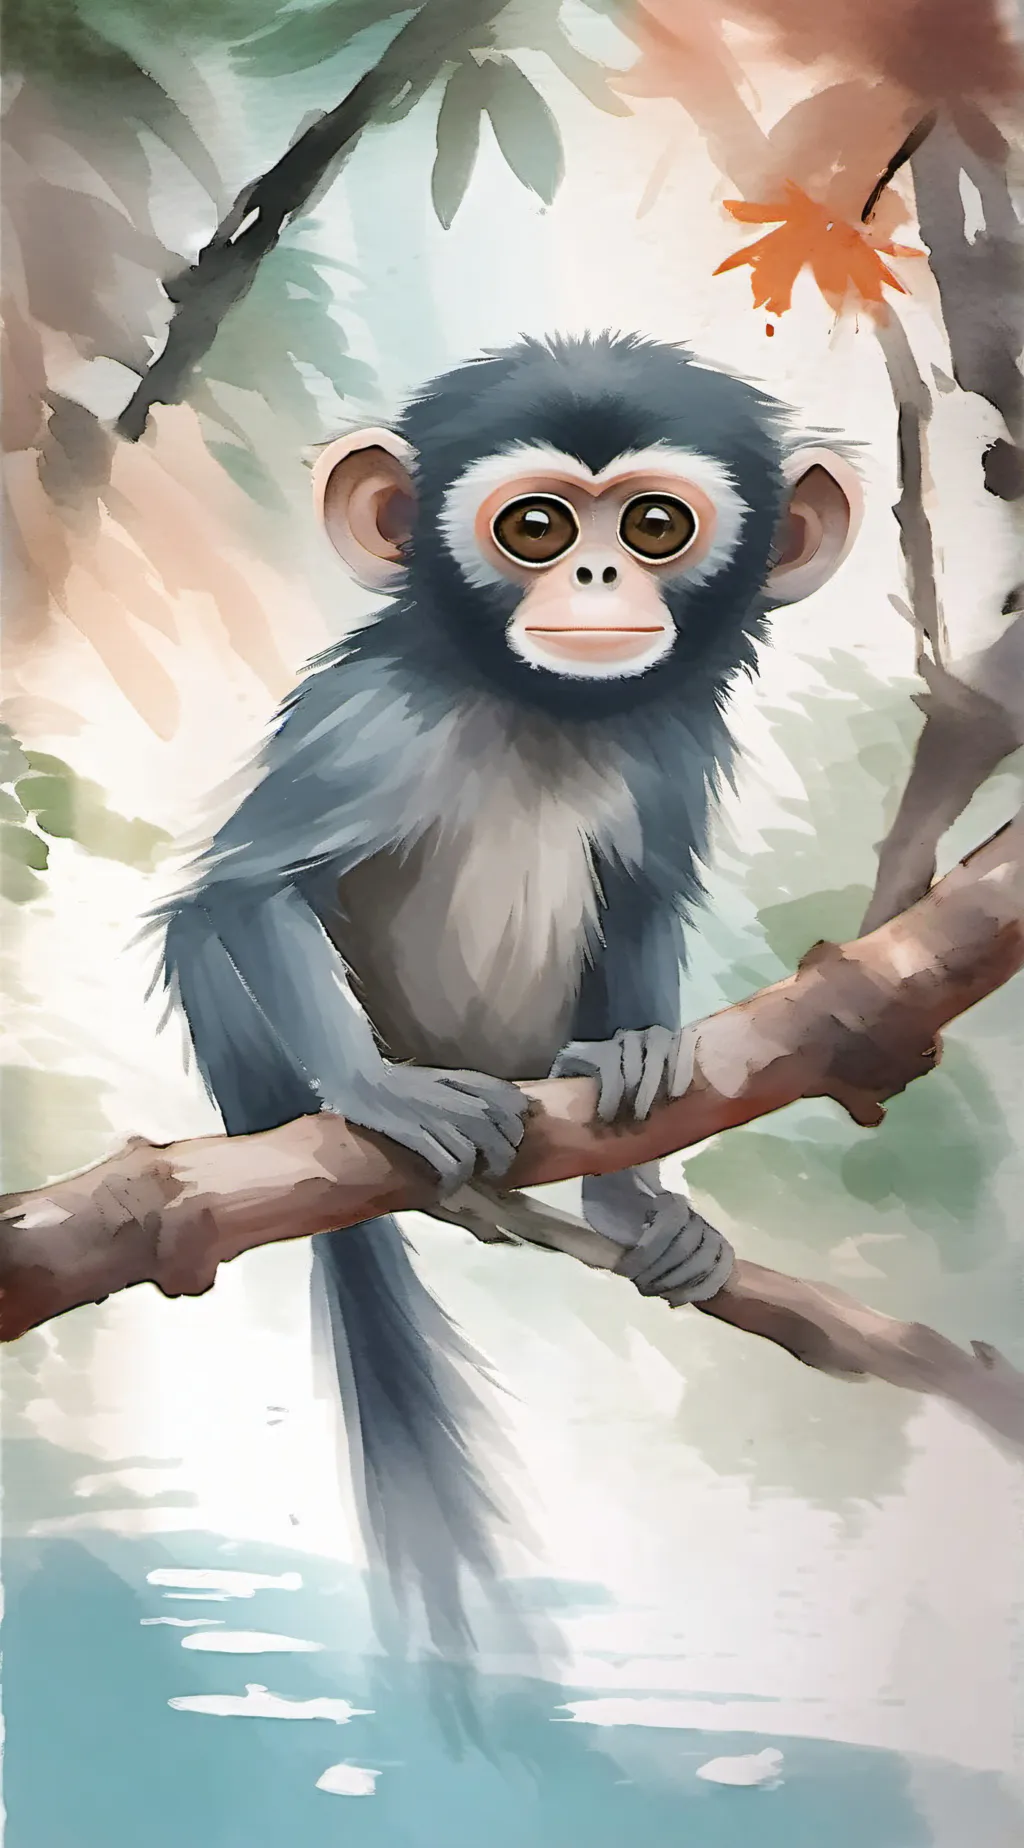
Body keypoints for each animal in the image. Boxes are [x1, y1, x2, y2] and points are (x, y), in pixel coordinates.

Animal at [157, 333, 860, 1647]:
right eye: (535, 525)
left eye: (652, 523)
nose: (592, 572)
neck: (539, 708)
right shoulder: (372, 726)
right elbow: (241, 896)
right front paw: (382, 1093)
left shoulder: (672, 742)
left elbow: (641, 900)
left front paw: (631, 1176)